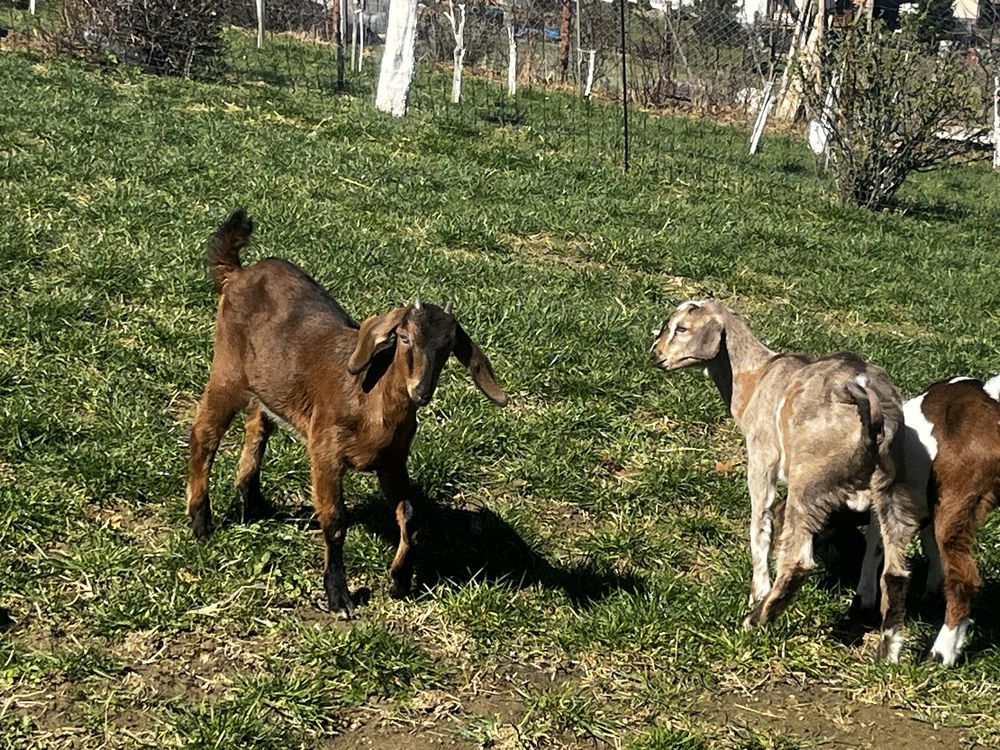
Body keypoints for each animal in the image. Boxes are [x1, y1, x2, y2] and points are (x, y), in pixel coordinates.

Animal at [187, 210, 508, 616]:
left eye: (449, 348)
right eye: (404, 337)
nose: (420, 392)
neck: (370, 402)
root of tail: (238, 274)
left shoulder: (392, 460)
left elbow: (410, 514)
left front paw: (400, 579)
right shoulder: (325, 451)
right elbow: (336, 520)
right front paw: (338, 593)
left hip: (270, 383)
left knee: (258, 425)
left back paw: (254, 499)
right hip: (228, 369)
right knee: (205, 432)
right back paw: (201, 521)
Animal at [648, 302, 920, 660]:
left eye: (681, 328)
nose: (655, 355)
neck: (756, 377)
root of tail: (872, 405)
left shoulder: (761, 457)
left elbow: (759, 525)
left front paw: (757, 590)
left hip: (809, 481)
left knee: (798, 559)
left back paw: (757, 618)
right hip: (891, 484)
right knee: (895, 569)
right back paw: (886, 651)